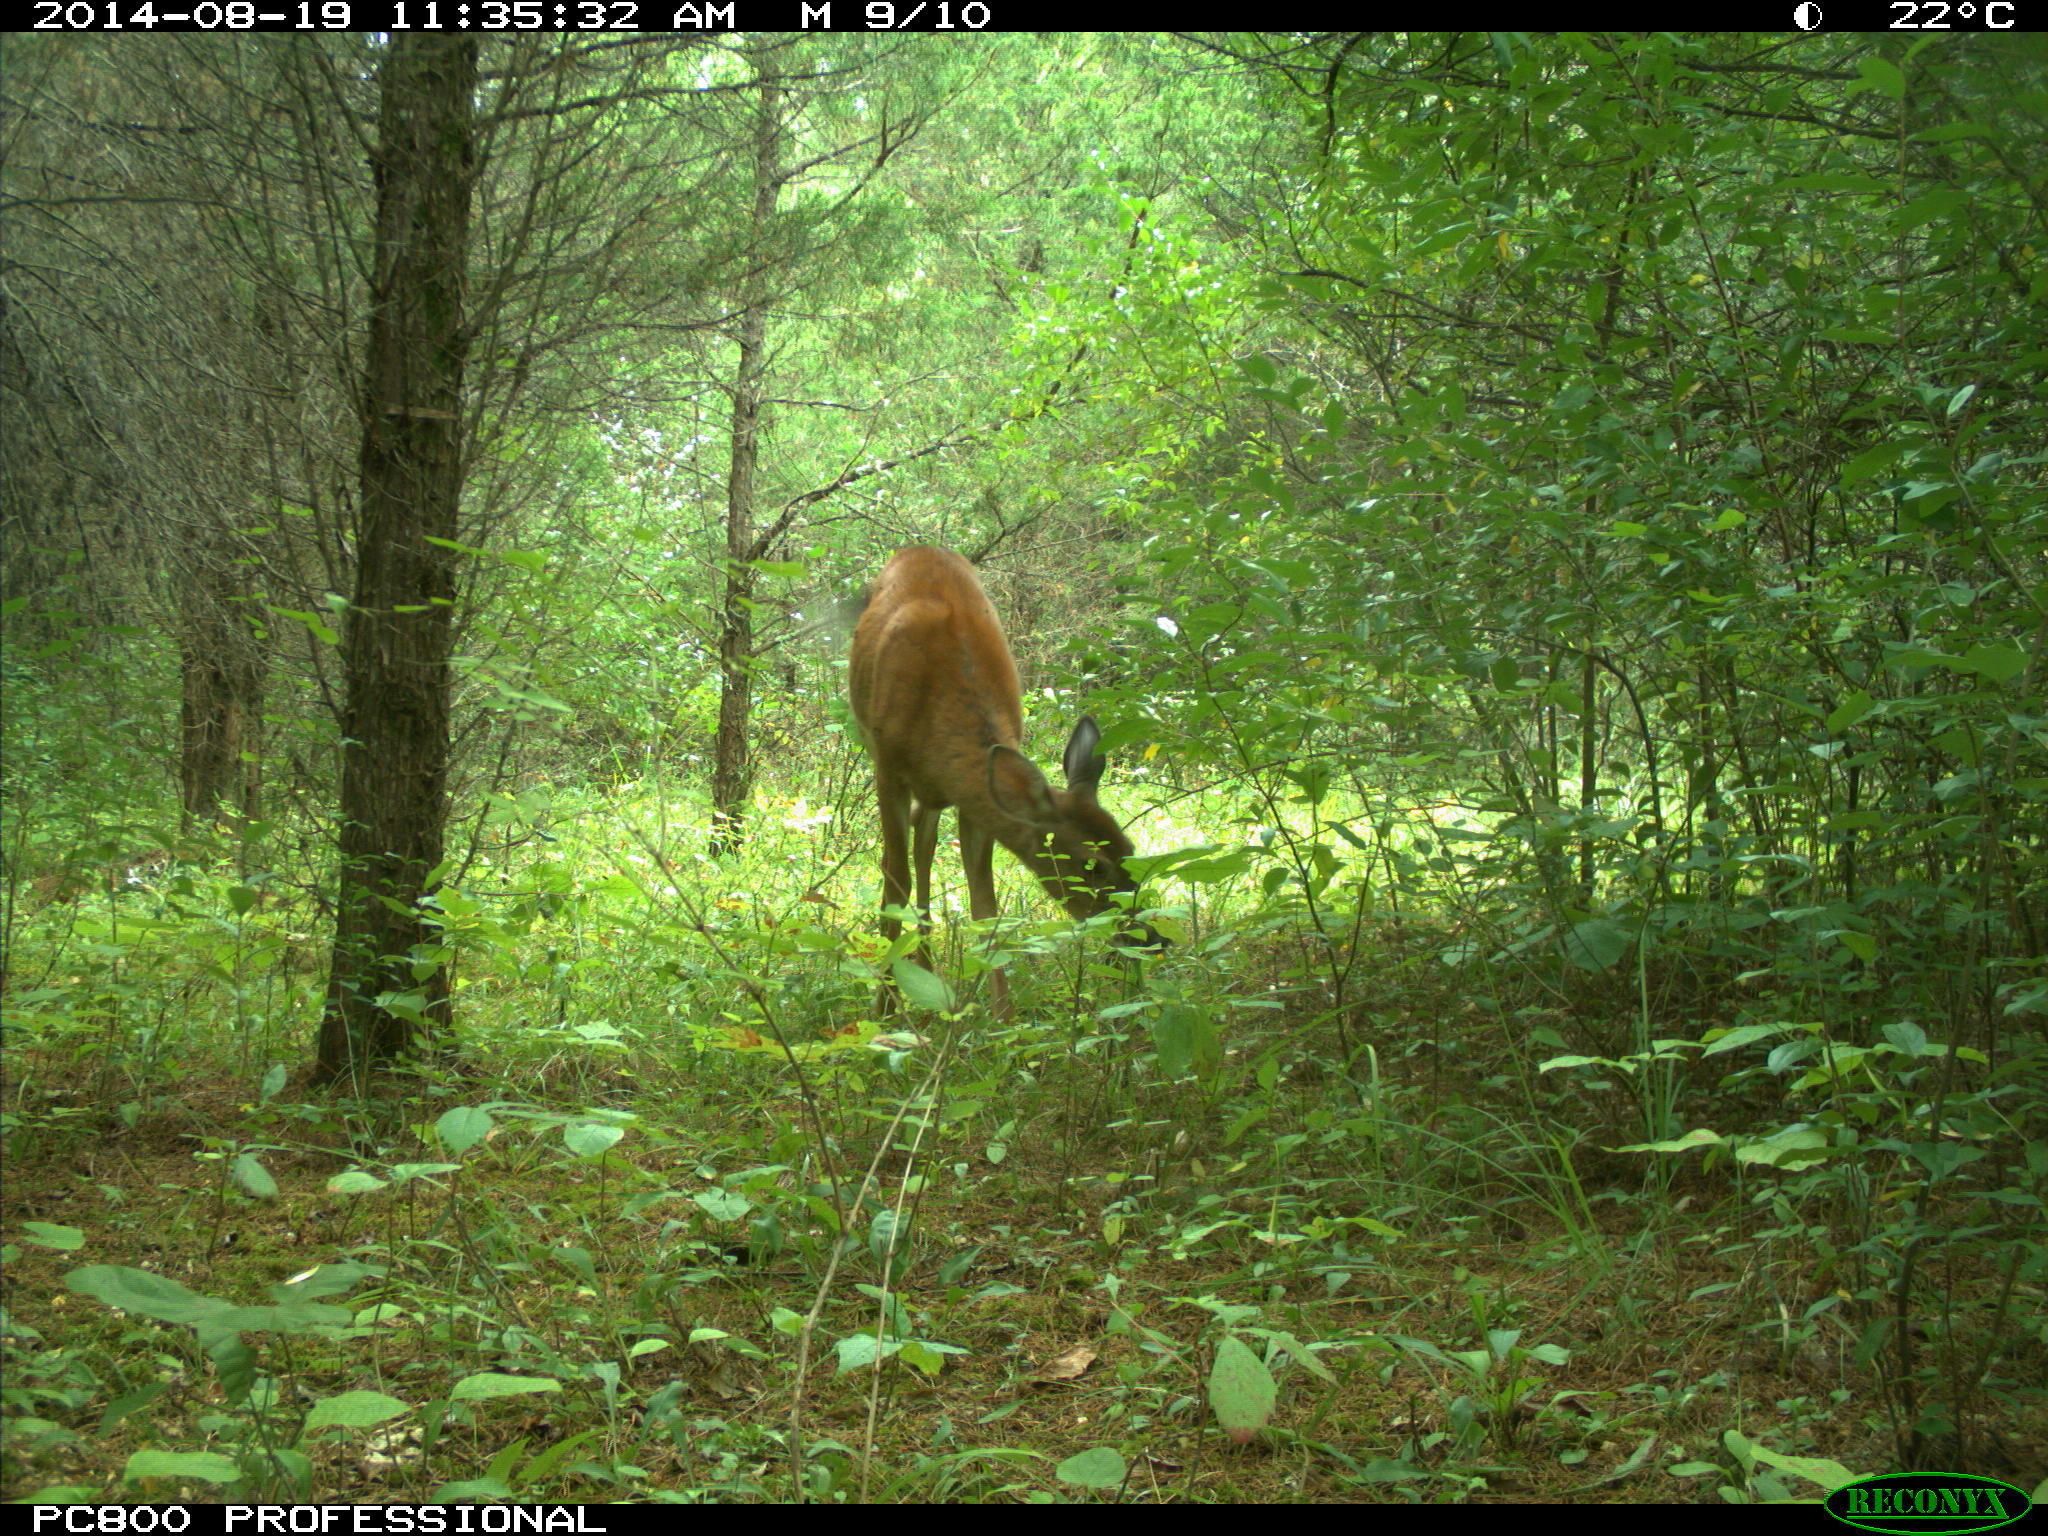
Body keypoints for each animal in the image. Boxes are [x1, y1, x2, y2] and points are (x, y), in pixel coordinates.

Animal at [847, 548, 1163, 1015]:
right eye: (1092, 866)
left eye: (1131, 851)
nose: (1150, 941)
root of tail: (922, 549)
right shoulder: (888, 769)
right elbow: (895, 887)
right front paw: (885, 1008)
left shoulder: (977, 799)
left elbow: (985, 905)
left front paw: (1004, 1018)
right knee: (903, 860)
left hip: (939, 797)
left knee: (925, 845)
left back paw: (927, 967)